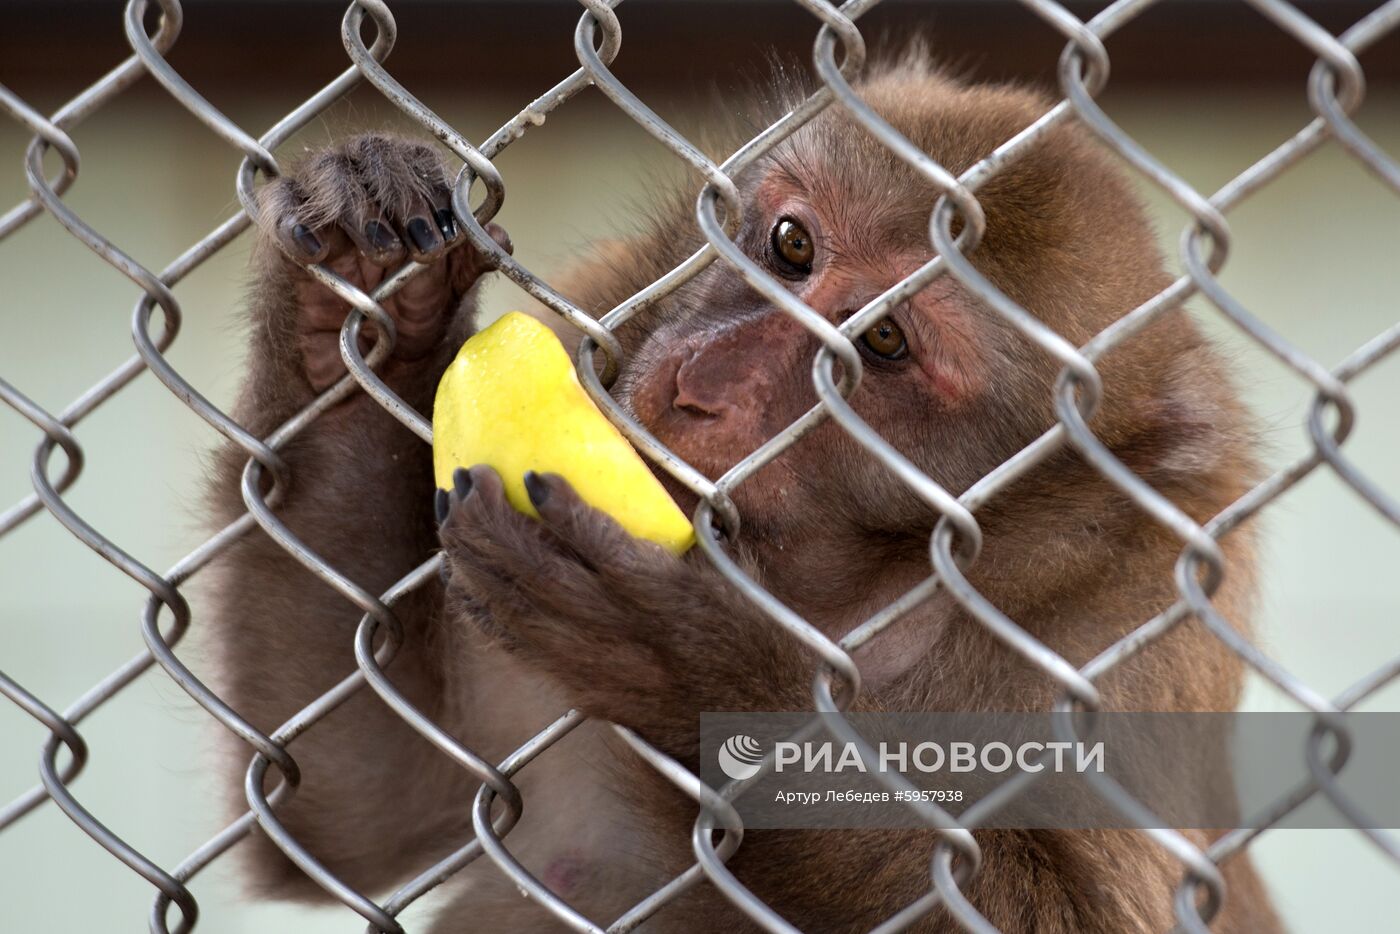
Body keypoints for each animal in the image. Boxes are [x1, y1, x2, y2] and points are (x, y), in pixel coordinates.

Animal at [207, 52, 1282, 934]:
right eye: (793, 245)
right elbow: (353, 808)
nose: (699, 384)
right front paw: (363, 297)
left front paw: (693, 666)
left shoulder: (1136, 619)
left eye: (882, 344)